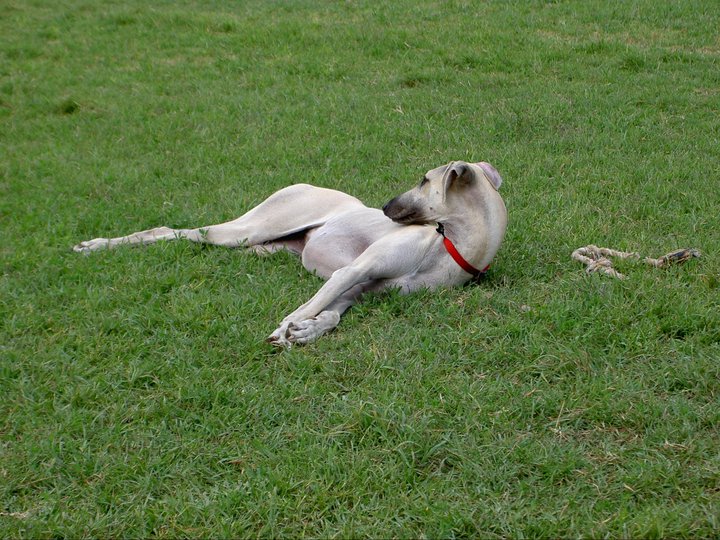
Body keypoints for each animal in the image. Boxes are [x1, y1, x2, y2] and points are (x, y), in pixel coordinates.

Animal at [74, 160, 506, 346]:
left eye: (422, 180)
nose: (385, 206)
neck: (448, 248)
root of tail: (299, 184)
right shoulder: (353, 271)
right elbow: (313, 302)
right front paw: (287, 327)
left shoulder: (361, 289)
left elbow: (331, 313)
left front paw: (307, 330)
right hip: (251, 228)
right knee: (170, 231)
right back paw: (95, 245)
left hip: (265, 245)